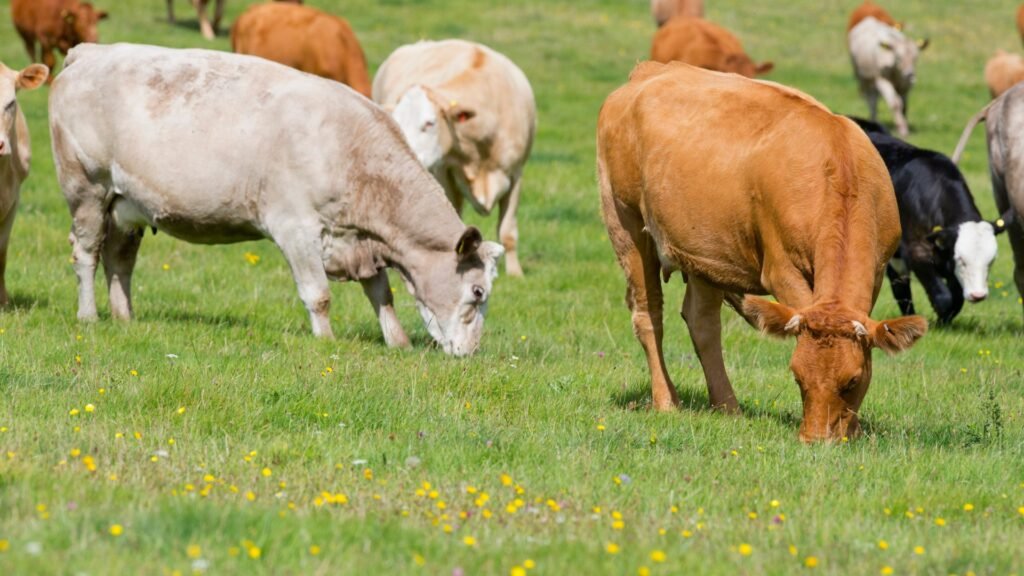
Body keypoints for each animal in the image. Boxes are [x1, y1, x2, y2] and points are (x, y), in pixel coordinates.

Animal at [49, 44, 505, 355]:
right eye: (477, 292)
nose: (470, 353)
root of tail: (91, 52)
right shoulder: (296, 228)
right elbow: (318, 295)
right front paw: (327, 342)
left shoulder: (359, 241)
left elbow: (382, 294)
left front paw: (397, 343)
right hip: (86, 189)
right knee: (86, 253)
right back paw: (88, 316)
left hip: (127, 206)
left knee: (119, 260)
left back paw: (124, 318)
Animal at [373, 40, 536, 277]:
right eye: (397, 122)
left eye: (429, 123)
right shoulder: (445, 175)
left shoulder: (516, 175)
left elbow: (508, 232)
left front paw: (515, 274)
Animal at [597, 61, 927, 442]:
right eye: (797, 376)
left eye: (852, 380)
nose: (814, 440)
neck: (841, 171)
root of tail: (649, 70)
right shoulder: (782, 270)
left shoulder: (875, 273)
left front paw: (855, 429)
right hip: (626, 224)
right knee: (649, 315)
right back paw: (666, 400)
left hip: (704, 253)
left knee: (702, 322)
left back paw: (728, 406)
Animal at [850, 118, 1011, 324]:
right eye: (961, 259)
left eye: (991, 260)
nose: (978, 295)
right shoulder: (917, 251)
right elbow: (944, 297)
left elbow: (955, 300)